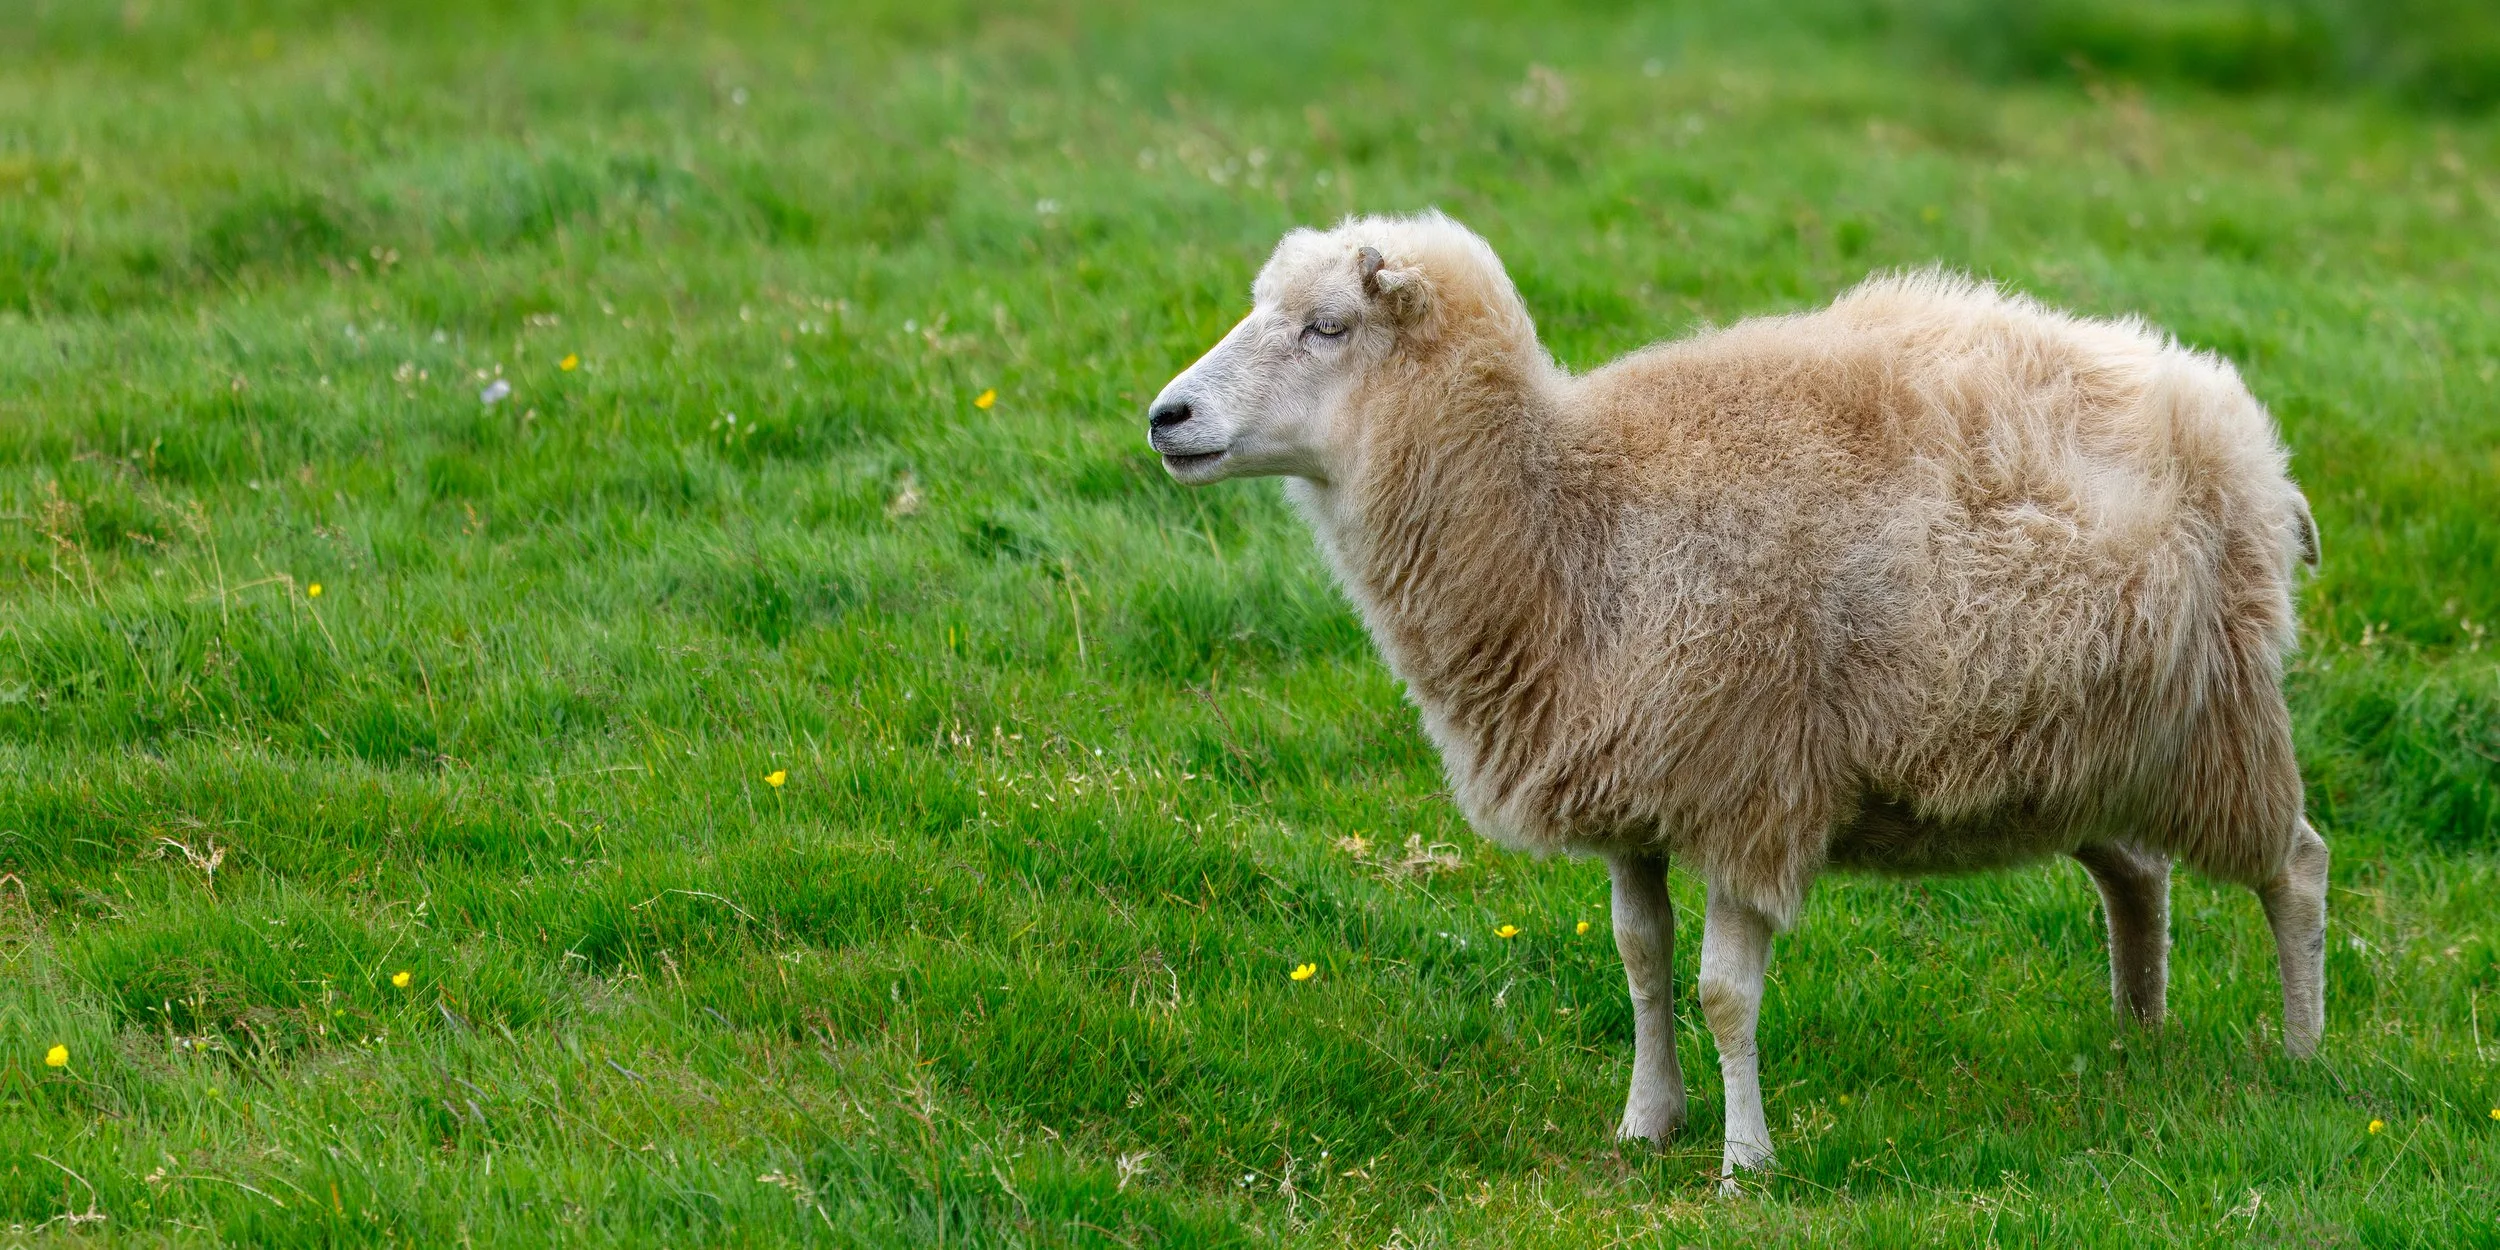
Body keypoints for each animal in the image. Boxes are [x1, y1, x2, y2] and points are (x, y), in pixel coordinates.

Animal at [1144, 211, 2327, 1182]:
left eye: (1328, 326)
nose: (1165, 415)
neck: (1571, 515)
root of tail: (2241, 423)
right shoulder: (1634, 786)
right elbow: (1639, 959)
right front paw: (1646, 1123)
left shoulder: (1746, 783)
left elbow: (1722, 992)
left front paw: (1743, 1161)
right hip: (2088, 748)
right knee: (2137, 872)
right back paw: (2137, 1038)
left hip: (2221, 716)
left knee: (2296, 867)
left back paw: (2300, 1054)